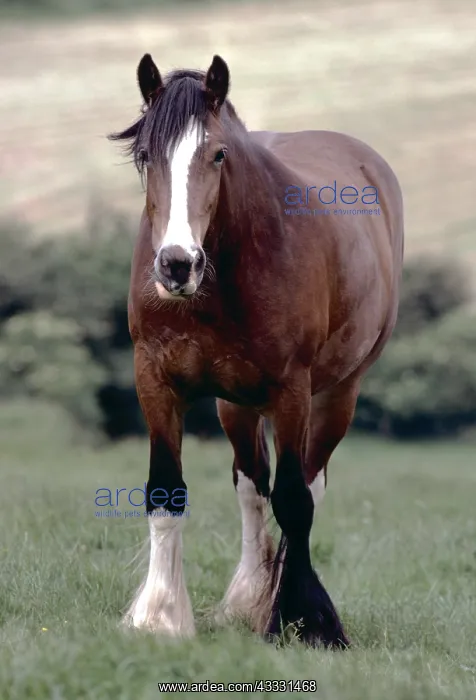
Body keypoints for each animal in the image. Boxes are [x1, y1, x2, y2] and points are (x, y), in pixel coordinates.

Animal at [109, 53, 404, 648]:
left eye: (218, 154)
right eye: (146, 155)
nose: (176, 265)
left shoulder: (292, 390)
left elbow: (294, 500)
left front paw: (306, 622)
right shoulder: (155, 380)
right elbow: (166, 493)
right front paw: (161, 617)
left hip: (336, 394)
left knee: (308, 484)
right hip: (236, 404)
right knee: (251, 488)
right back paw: (247, 597)